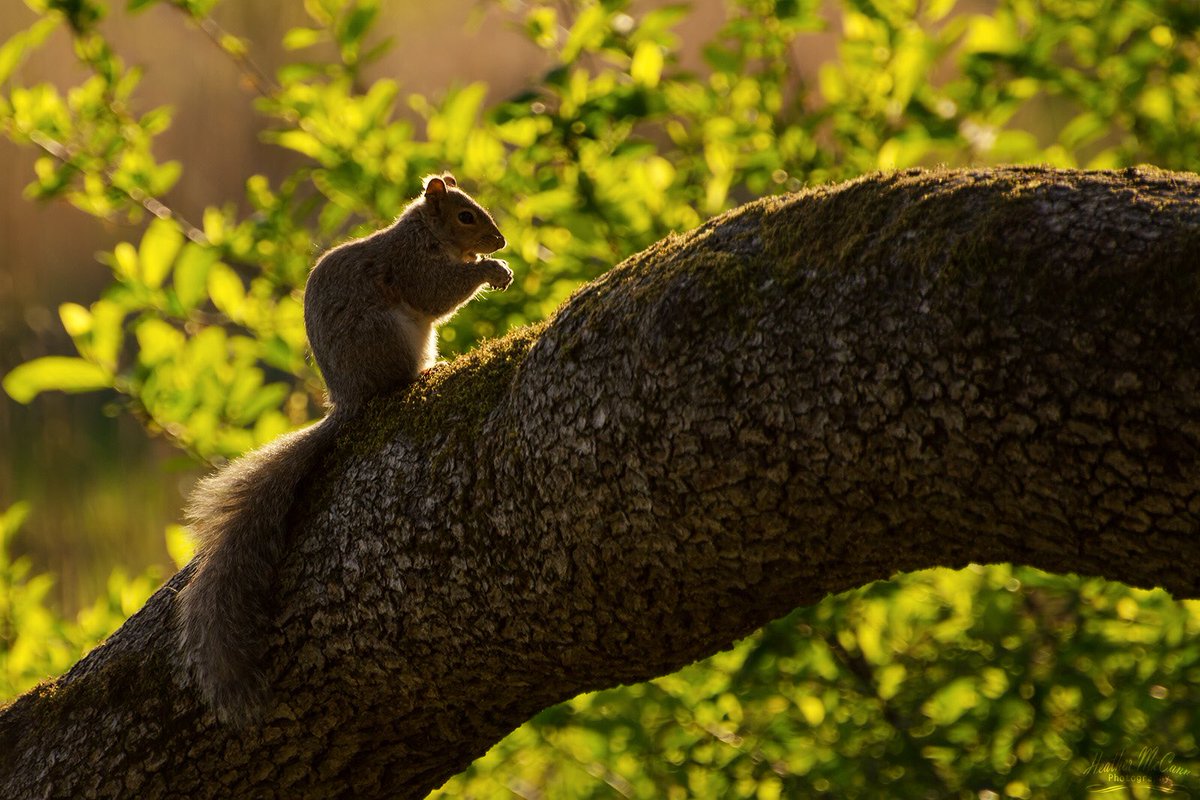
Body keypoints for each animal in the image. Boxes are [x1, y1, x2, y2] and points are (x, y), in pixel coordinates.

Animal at [176, 174, 512, 725]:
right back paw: (416, 377)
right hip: (385, 335)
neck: (424, 233)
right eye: (466, 216)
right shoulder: (411, 265)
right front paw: (490, 270)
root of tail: (349, 398)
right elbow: (436, 292)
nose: (500, 242)